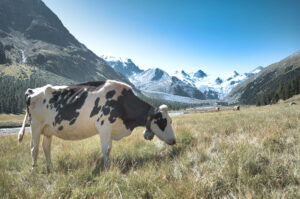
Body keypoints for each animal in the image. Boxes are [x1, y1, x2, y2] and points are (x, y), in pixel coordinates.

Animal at [17, 80, 176, 172]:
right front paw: (107, 168)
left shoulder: (111, 129)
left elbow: (109, 149)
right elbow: (106, 149)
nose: (174, 140)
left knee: (46, 148)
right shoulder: (104, 125)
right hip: (35, 126)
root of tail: (32, 91)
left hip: (48, 129)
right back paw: (35, 171)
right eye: (163, 121)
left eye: (170, 120)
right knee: (34, 148)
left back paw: (50, 168)